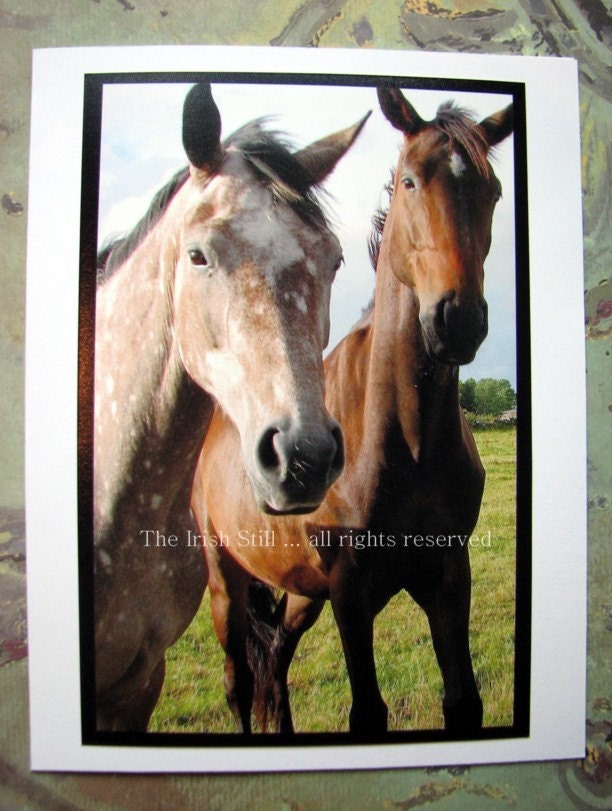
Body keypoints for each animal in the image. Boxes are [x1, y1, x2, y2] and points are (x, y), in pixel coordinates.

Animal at [191, 86, 514, 736]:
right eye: (410, 180)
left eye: (492, 191)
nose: (457, 320)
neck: (404, 440)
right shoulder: (350, 589)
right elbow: (367, 712)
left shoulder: (449, 576)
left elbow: (463, 701)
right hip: (225, 582)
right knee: (240, 681)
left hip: (299, 595)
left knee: (276, 660)